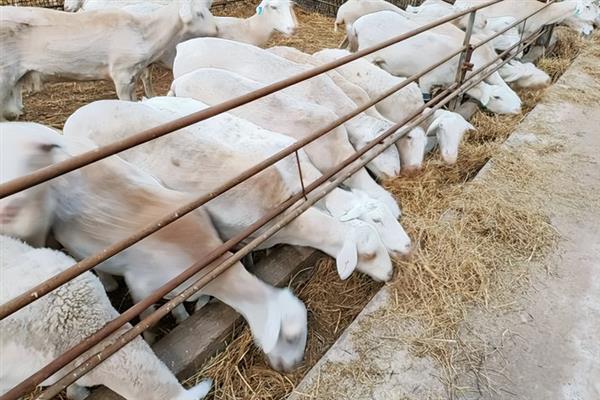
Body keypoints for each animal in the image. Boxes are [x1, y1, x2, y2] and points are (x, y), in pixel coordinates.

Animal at [0, 0, 217, 119]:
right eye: (200, 13)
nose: (216, 30)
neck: (146, 33)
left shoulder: (133, 74)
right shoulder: (121, 73)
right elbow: (126, 101)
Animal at [350, 9, 524, 115]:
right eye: (497, 97)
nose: (519, 108)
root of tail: (359, 22)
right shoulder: (426, 80)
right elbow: (427, 99)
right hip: (366, 51)